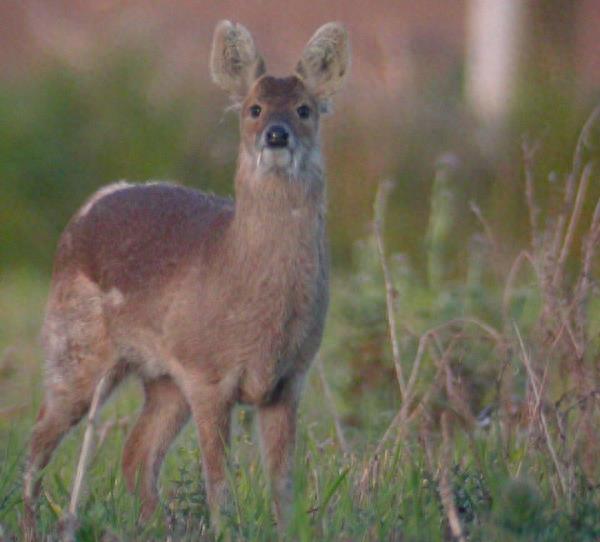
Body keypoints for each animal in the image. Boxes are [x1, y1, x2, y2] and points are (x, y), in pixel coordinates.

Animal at [24, 20, 352, 536]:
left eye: (304, 108)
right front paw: (225, 530)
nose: (276, 135)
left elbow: (283, 486)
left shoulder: (289, 378)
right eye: (254, 108)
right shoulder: (207, 374)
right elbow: (219, 482)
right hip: (73, 347)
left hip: (162, 378)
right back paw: (32, 525)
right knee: (38, 440)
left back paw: (152, 526)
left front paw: (286, 530)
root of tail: (89, 206)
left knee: (135, 454)